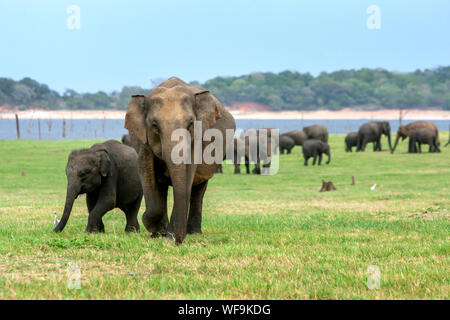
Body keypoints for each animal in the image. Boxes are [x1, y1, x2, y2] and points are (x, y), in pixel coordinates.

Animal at [123, 77, 236, 245]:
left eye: (190, 124)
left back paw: (194, 233)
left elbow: (187, 179)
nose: (178, 242)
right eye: (154, 125)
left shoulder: (197, 140)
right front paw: (156, 229)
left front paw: (167, 235)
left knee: (198, 189)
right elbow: (146, 173)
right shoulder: (142, 141)